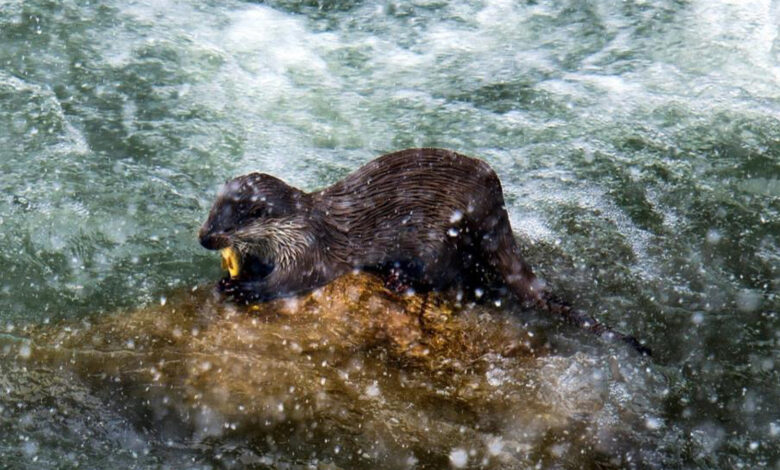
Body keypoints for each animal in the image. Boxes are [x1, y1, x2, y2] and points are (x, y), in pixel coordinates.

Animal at [198, 149, 648, 354]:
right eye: (209, 212)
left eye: (227, 224)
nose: (203, 238)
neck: (296, 226)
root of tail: (494, 198)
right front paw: (234, 275)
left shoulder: (308, 249)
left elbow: (292, 280)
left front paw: (243, 289)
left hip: (443, 236)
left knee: (447, 275)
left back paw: (400, 278)